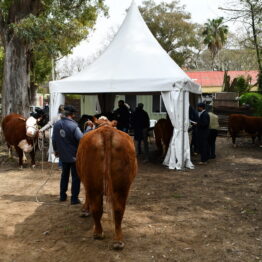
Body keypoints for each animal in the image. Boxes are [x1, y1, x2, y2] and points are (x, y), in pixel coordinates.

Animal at [76, 116, 136, 250]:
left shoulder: (86, 183)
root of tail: (106, 131)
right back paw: (118, 240)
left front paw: (84, 209)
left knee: (97, 208)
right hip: (123, 186)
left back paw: (98, 233)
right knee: (118, 210)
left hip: (93, 184)